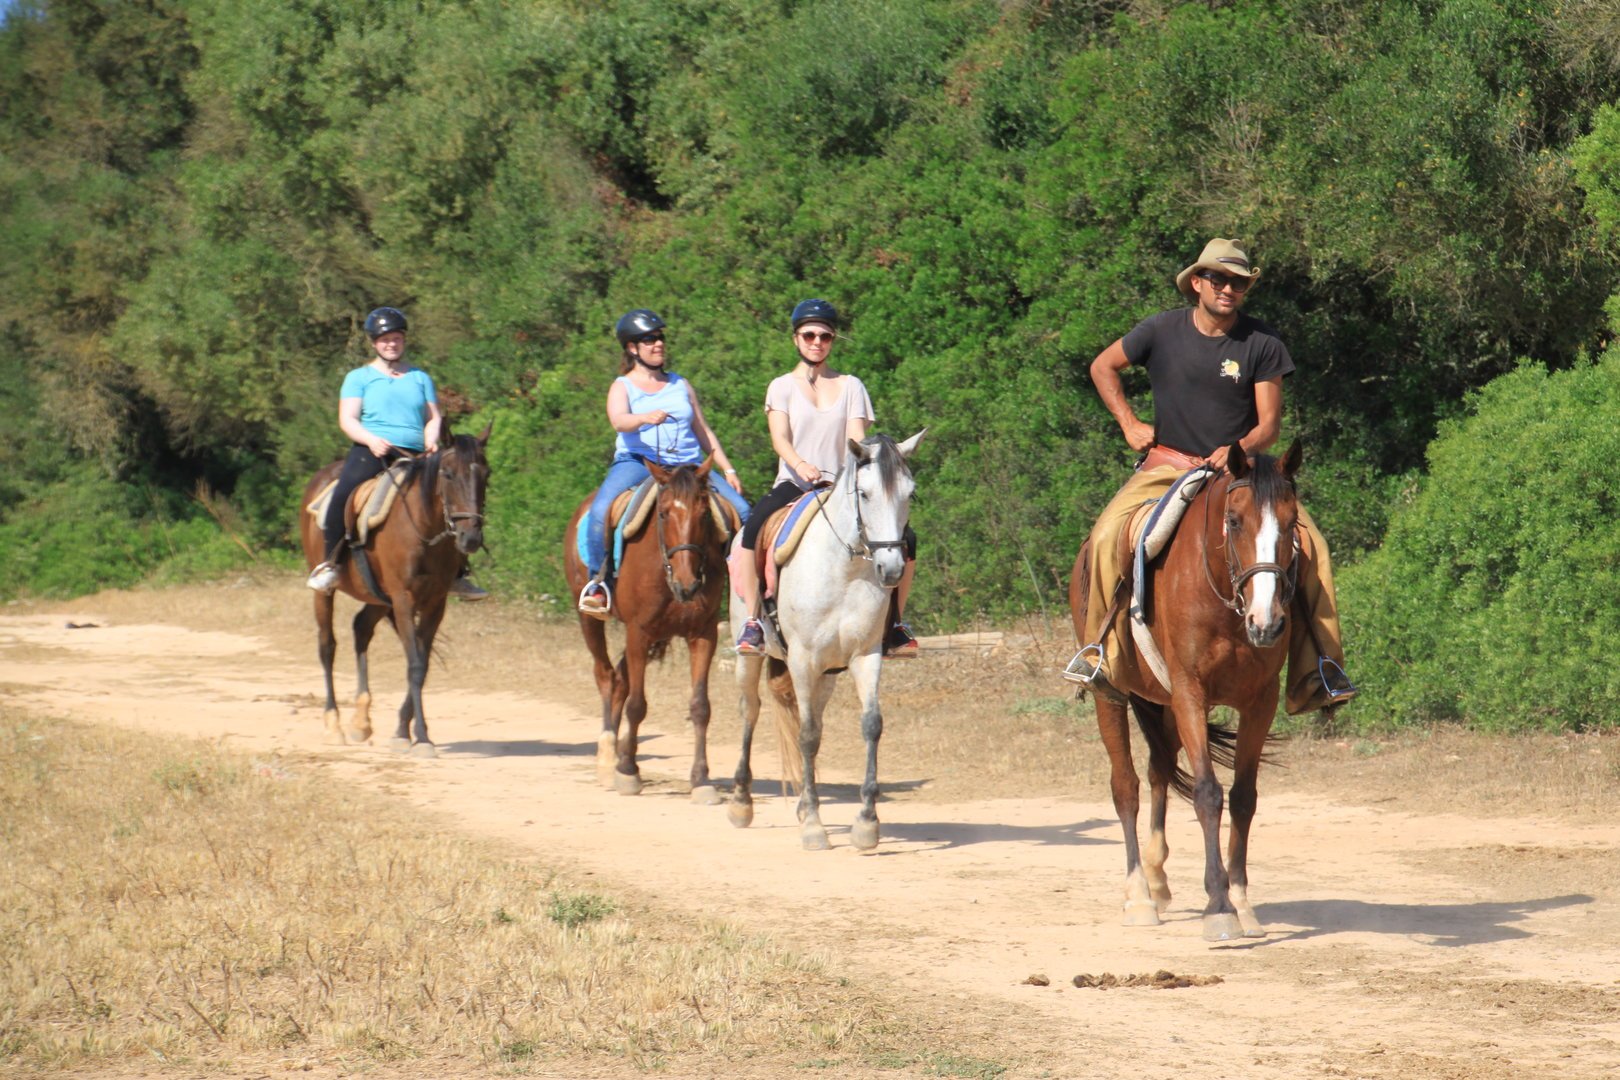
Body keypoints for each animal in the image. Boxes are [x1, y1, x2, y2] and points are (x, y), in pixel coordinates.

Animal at [299, 425, 491, 758]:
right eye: (448, 474)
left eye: (486, 474)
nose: (470, 537)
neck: (422, 529)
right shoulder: (403, 599)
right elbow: (414, 663)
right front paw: (421, 737)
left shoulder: (435, 602)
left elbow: (421, 664)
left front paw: (404, 731)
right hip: (325, 594)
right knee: (327, 646)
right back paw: (334, 725)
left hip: (377, 596)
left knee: (361, 629)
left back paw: (361, 722)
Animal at [562, 457, 733, 802]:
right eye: (664, 513)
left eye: (705, 513)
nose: (688, 584)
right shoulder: (638, 632)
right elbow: (638, 705)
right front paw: (628, 772)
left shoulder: (703, 635)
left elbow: (700, 707)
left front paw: (701, 780)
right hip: (590, 619)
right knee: (606, 676)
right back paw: (607, 759)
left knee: (619, 679)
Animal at [728, 430, 925, 851]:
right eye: (864, 493)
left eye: (910, 493)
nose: (891, 570)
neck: (844, 570)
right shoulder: (802, 660)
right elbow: (807, 735)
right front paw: (815, 828)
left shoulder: (865, 656)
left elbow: (870, 725)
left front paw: (866, 822)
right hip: (750, 658)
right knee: (751, 711)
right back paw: (741, 802)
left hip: (828, 673)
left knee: (812, 715)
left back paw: (803, 802)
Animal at [1068, 440, 1301, 941]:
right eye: (1234, 520)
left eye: (1293, 522)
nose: (1267, 622)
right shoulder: (1190, 693)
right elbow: (1208, 793)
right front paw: (1219, 907)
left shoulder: (1260, 703)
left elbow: (1243, 797)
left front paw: (1241, 902)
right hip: (1111, 695)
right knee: (1126, 786)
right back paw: (1138, 895)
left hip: (1162, 703)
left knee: (1158, 771)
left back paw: (1157, 880)